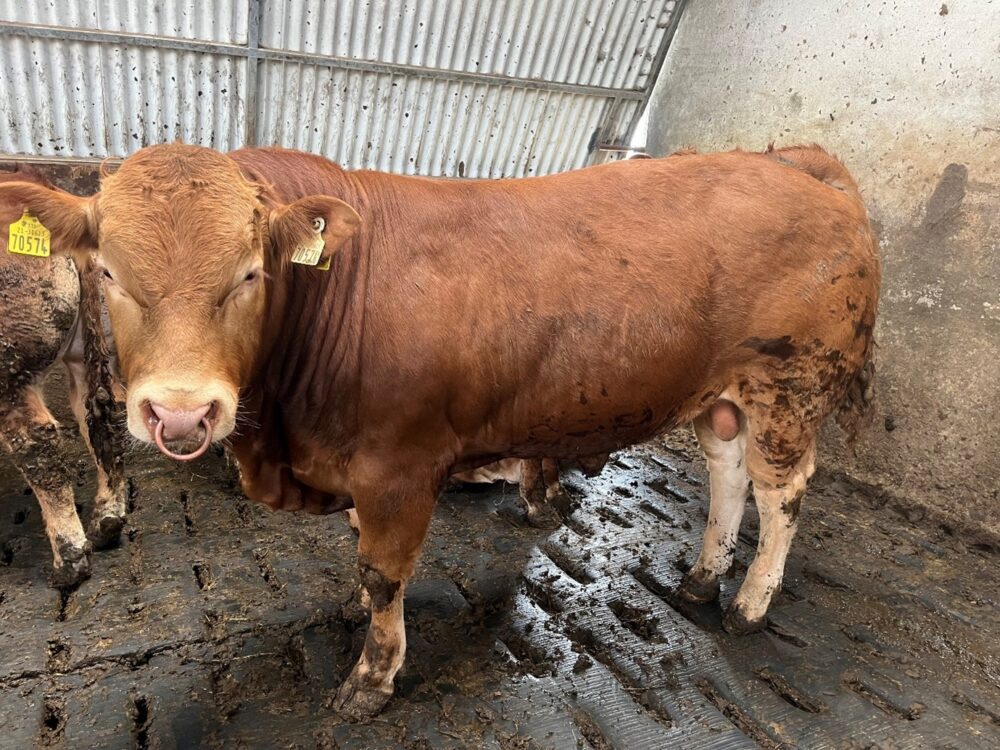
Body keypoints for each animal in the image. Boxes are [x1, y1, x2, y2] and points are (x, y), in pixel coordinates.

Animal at [0, 165, 126, 587]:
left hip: (9, 368)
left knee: (36, 440)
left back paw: (69, 561)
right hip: (91, 345)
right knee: (105, 412)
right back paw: (107, 519)